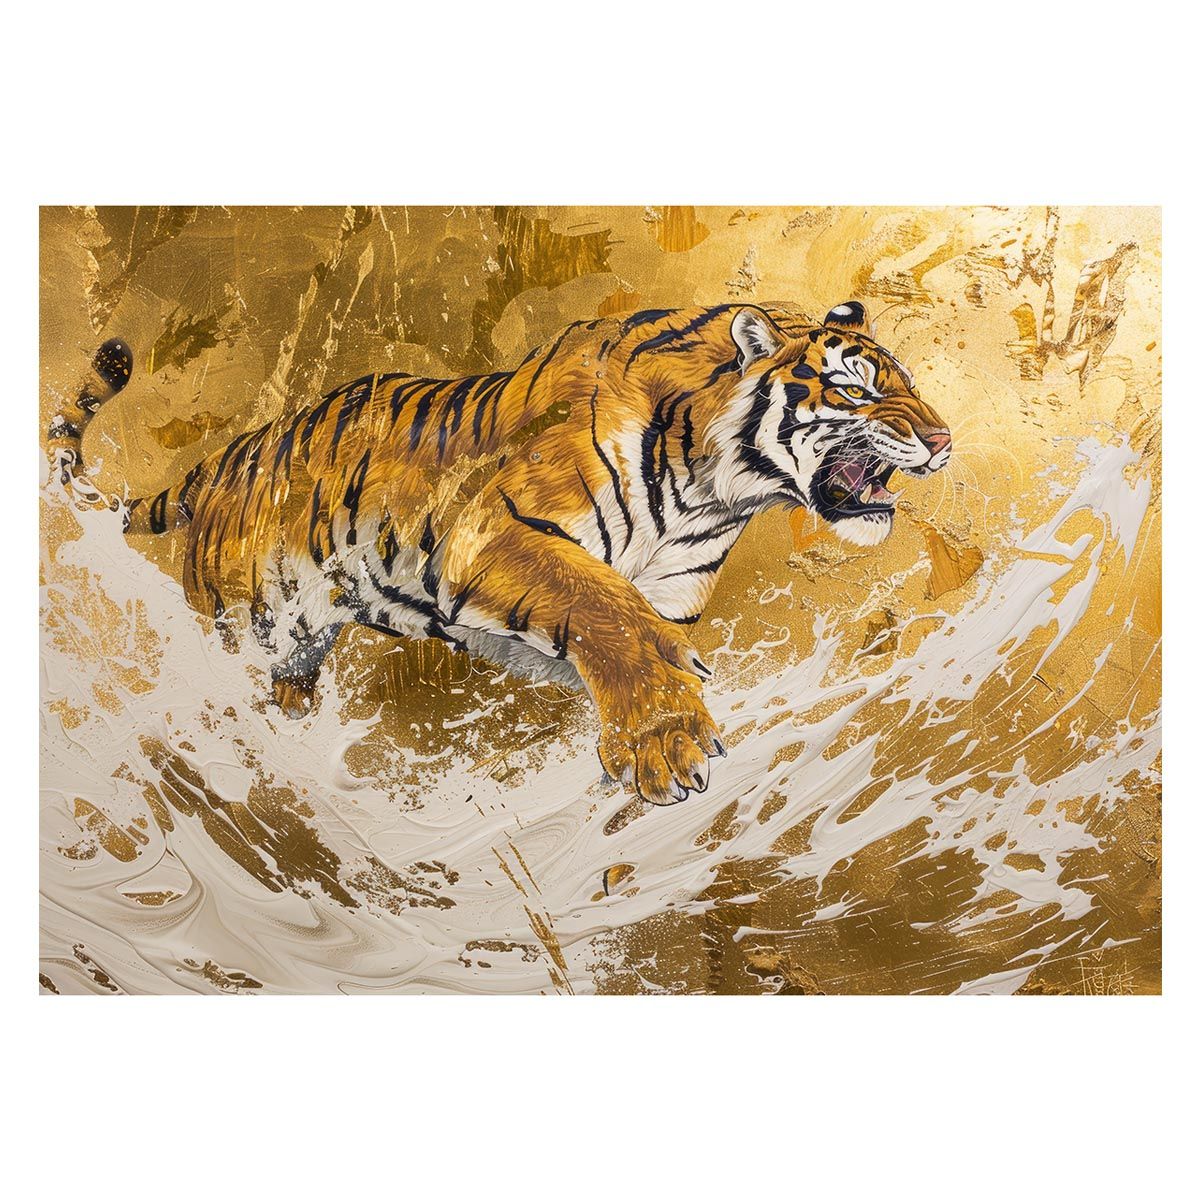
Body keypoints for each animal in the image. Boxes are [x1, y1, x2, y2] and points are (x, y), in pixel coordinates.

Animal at [46, 301, 951, 806]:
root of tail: (222, 461)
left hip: (297, 648)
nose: (945, 440)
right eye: (857, 388)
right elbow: (607, 612)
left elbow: (624, 638)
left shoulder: (663, 594)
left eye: (910, 384)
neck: (715, 490)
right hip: (246, 626)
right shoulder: (493, 535)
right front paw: (665, 747)